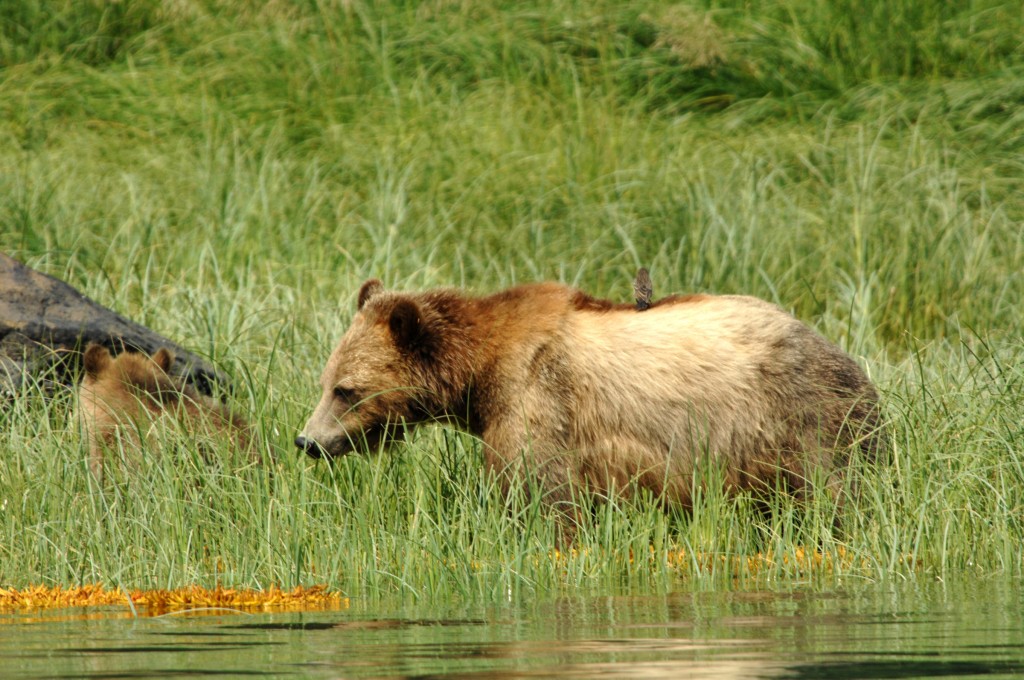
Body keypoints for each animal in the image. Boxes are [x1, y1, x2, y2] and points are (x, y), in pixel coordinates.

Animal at [296, 278, 884, 528]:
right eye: (325, 381)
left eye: (345, 389)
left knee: (834, 489)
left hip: (799, 418)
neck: (479, 378)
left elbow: (541, 495)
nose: (307, 440)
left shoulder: (538, 401)